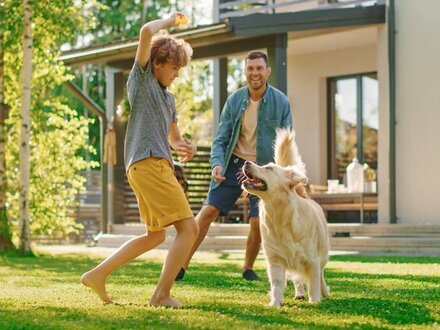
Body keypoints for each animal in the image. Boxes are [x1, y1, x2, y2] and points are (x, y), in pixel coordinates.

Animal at [241, 127, 330, 306]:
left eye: (268, 168)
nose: (246, 162)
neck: (279, 213)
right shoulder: (275, 260)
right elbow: (277, 284)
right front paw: (275, 303)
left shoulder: (313, 260)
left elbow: (314, 283)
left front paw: (315, 301)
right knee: (298, 279)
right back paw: (299, 293)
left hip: (323, 255)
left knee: (321, 275)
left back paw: (324, 292)